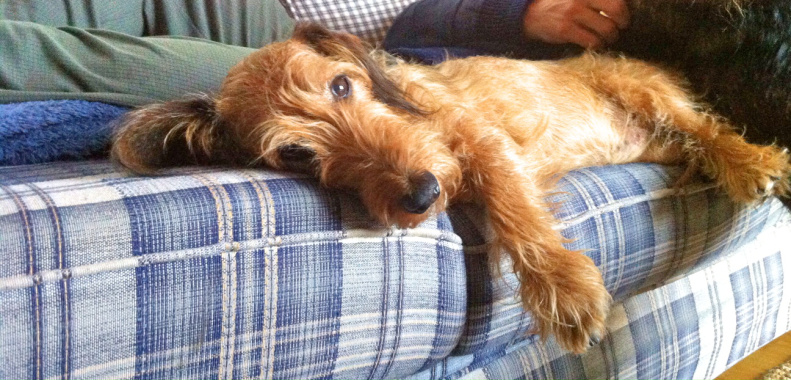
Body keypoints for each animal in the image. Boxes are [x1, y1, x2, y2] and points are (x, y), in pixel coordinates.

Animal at [111, 23, 791, 354]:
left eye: (341, 85)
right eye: (297, 154)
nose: (419, 195)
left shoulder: (486, 141)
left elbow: (515, 210)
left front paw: (564, 292)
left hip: (643, 91)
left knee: (706, 128)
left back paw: (750, 161)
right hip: (659, 139)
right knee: (692, 144)